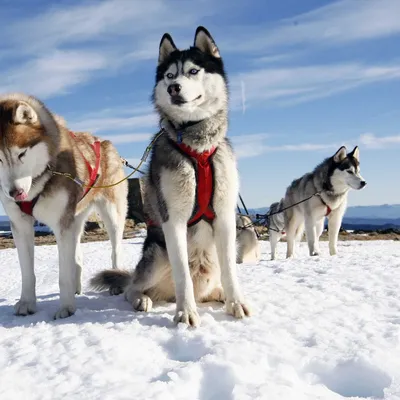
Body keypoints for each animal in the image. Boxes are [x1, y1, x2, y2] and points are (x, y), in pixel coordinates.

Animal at [0, 94, 127, 318]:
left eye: (22, 154)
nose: (15, 193)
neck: (39, 180)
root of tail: (102, 141)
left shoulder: (61, 224)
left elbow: (63, 274)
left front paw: (66, 307)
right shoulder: (20, 225)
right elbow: (27, 272)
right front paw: (26, 302)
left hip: (111, 214)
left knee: (115, 249)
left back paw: (114, 280)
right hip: (75, 217)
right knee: (76, 255)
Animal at [92, 26, 252, 326]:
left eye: (193, 71)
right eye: (169, 75)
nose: (173, 87)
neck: (197, 147)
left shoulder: (225, 217)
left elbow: (231, 271)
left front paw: (237, 302)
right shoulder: (173, 220)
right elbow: (182, 276)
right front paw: (185, 313)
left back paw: (220, 295)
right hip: (157, 252)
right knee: (132, 287)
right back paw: (142, 299)